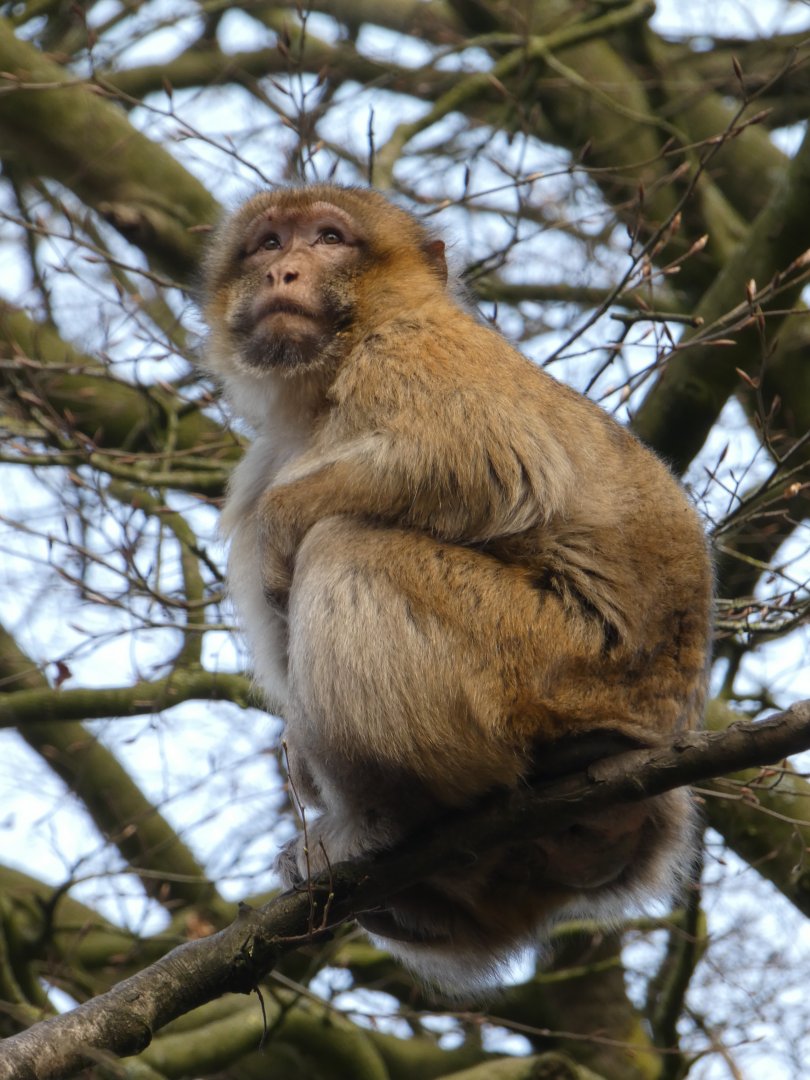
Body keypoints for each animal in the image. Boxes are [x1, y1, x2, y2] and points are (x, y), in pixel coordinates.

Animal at [200, 183, 713, 992]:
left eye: (329, 237)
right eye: (268, 243)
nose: (284, 271)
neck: (321, 390)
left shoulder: (412, 351)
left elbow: (487, 463)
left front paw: (282, 529)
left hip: (543, 663)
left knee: (346, 544)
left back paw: (380, 818)